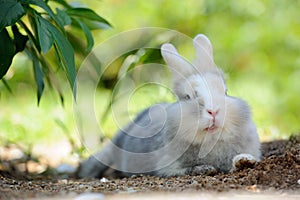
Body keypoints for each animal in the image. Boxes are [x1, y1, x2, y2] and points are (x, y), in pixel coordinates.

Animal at [77, 34, 260, 178]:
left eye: (226, 91)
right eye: (188, 97)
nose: (213, 111)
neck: (211, 141)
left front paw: (245, 161)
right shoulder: (167, 166)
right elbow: (185, 170)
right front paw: (205, 168)